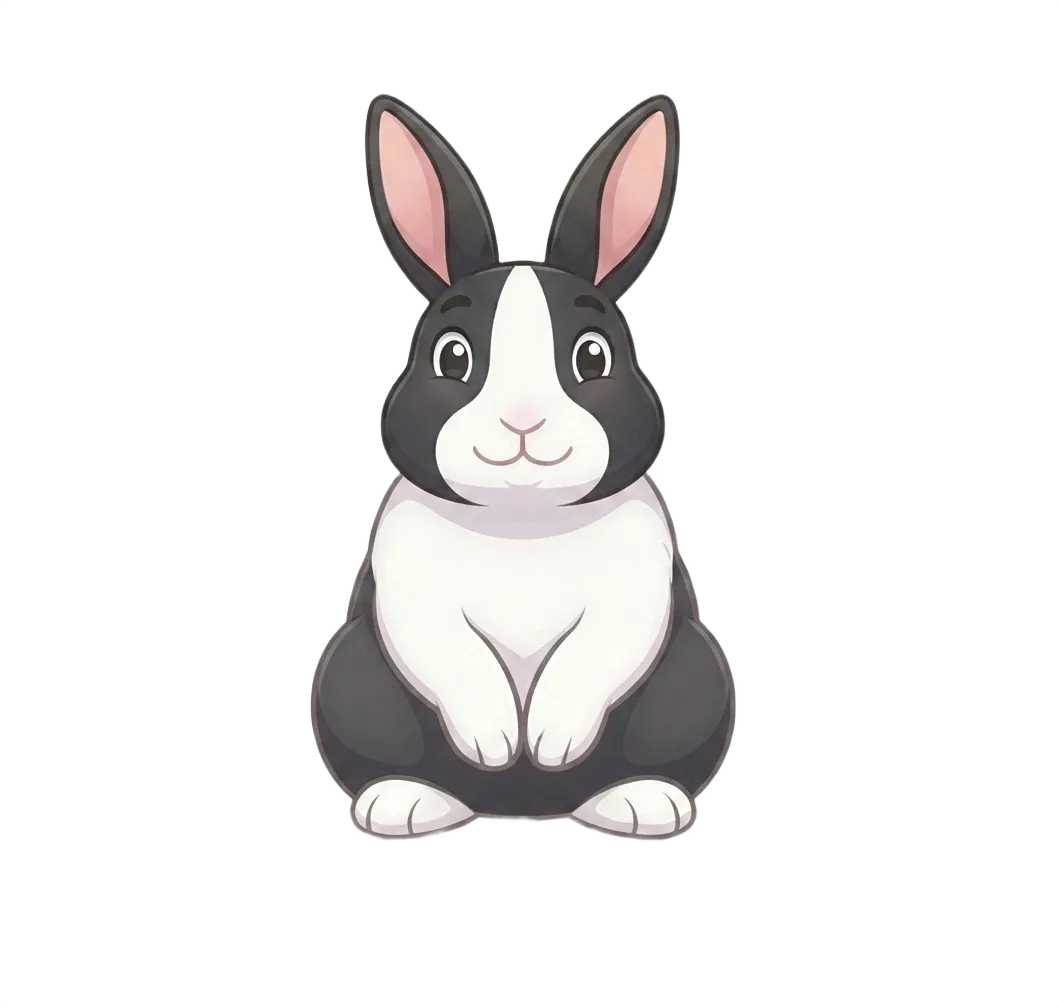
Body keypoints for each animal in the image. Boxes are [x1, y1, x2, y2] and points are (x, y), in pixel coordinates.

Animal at [310, 93, 735, 841]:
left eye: (593, 357)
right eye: (452, 357)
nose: (523, 421)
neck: (523, 520)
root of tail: (524, 810)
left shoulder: (636, 584)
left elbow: (596, 653)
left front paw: (550, 743)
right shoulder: (410, 586)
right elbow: (451, 652)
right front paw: (496, 743)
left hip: (700, 671)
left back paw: (641, 804)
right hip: (347, 669)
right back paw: (405, 804)